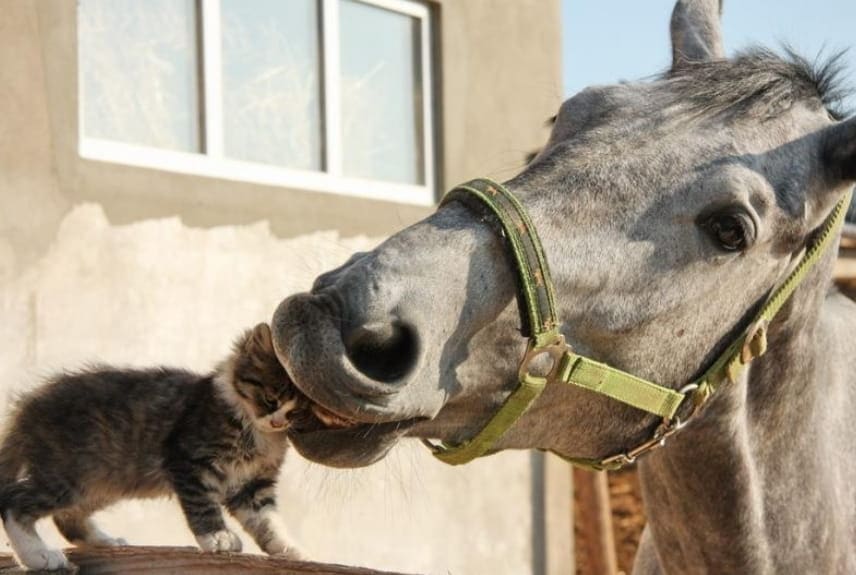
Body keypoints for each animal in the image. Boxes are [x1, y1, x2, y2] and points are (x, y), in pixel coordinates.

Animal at [0, 324, 306, 572]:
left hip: (103, 481)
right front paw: (217, 537)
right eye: (270, 399)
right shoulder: (189, 461)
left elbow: (267, 520)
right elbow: (203, 506)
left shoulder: (253, 485)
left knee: (67, 517)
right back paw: (39, 556)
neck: (255, 432)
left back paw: (104, 541)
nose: (278, 422)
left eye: (294, 413)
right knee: (13, 501)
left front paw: (287, 547)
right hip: (68, 475)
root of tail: (29, 405)